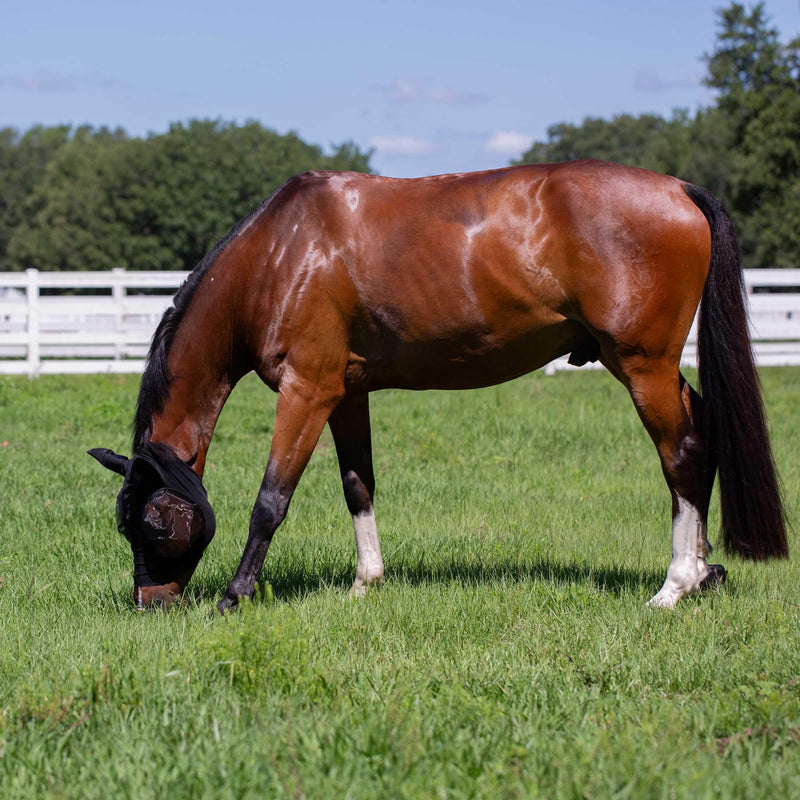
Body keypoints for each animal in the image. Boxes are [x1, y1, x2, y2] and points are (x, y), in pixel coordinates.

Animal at [89, 160, 788, 614]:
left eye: (149, 523)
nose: (150, 602)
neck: (280, 255)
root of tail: (679, 189)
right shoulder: (347, 394)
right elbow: (358, 485)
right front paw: (365, 583)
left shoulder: (306, 391)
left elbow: (271, 499)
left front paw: (236, 595)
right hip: (658, 369)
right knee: (702, 435)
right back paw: (704, 571)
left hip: (642, 366)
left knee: (683, 456)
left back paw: (674, 586)